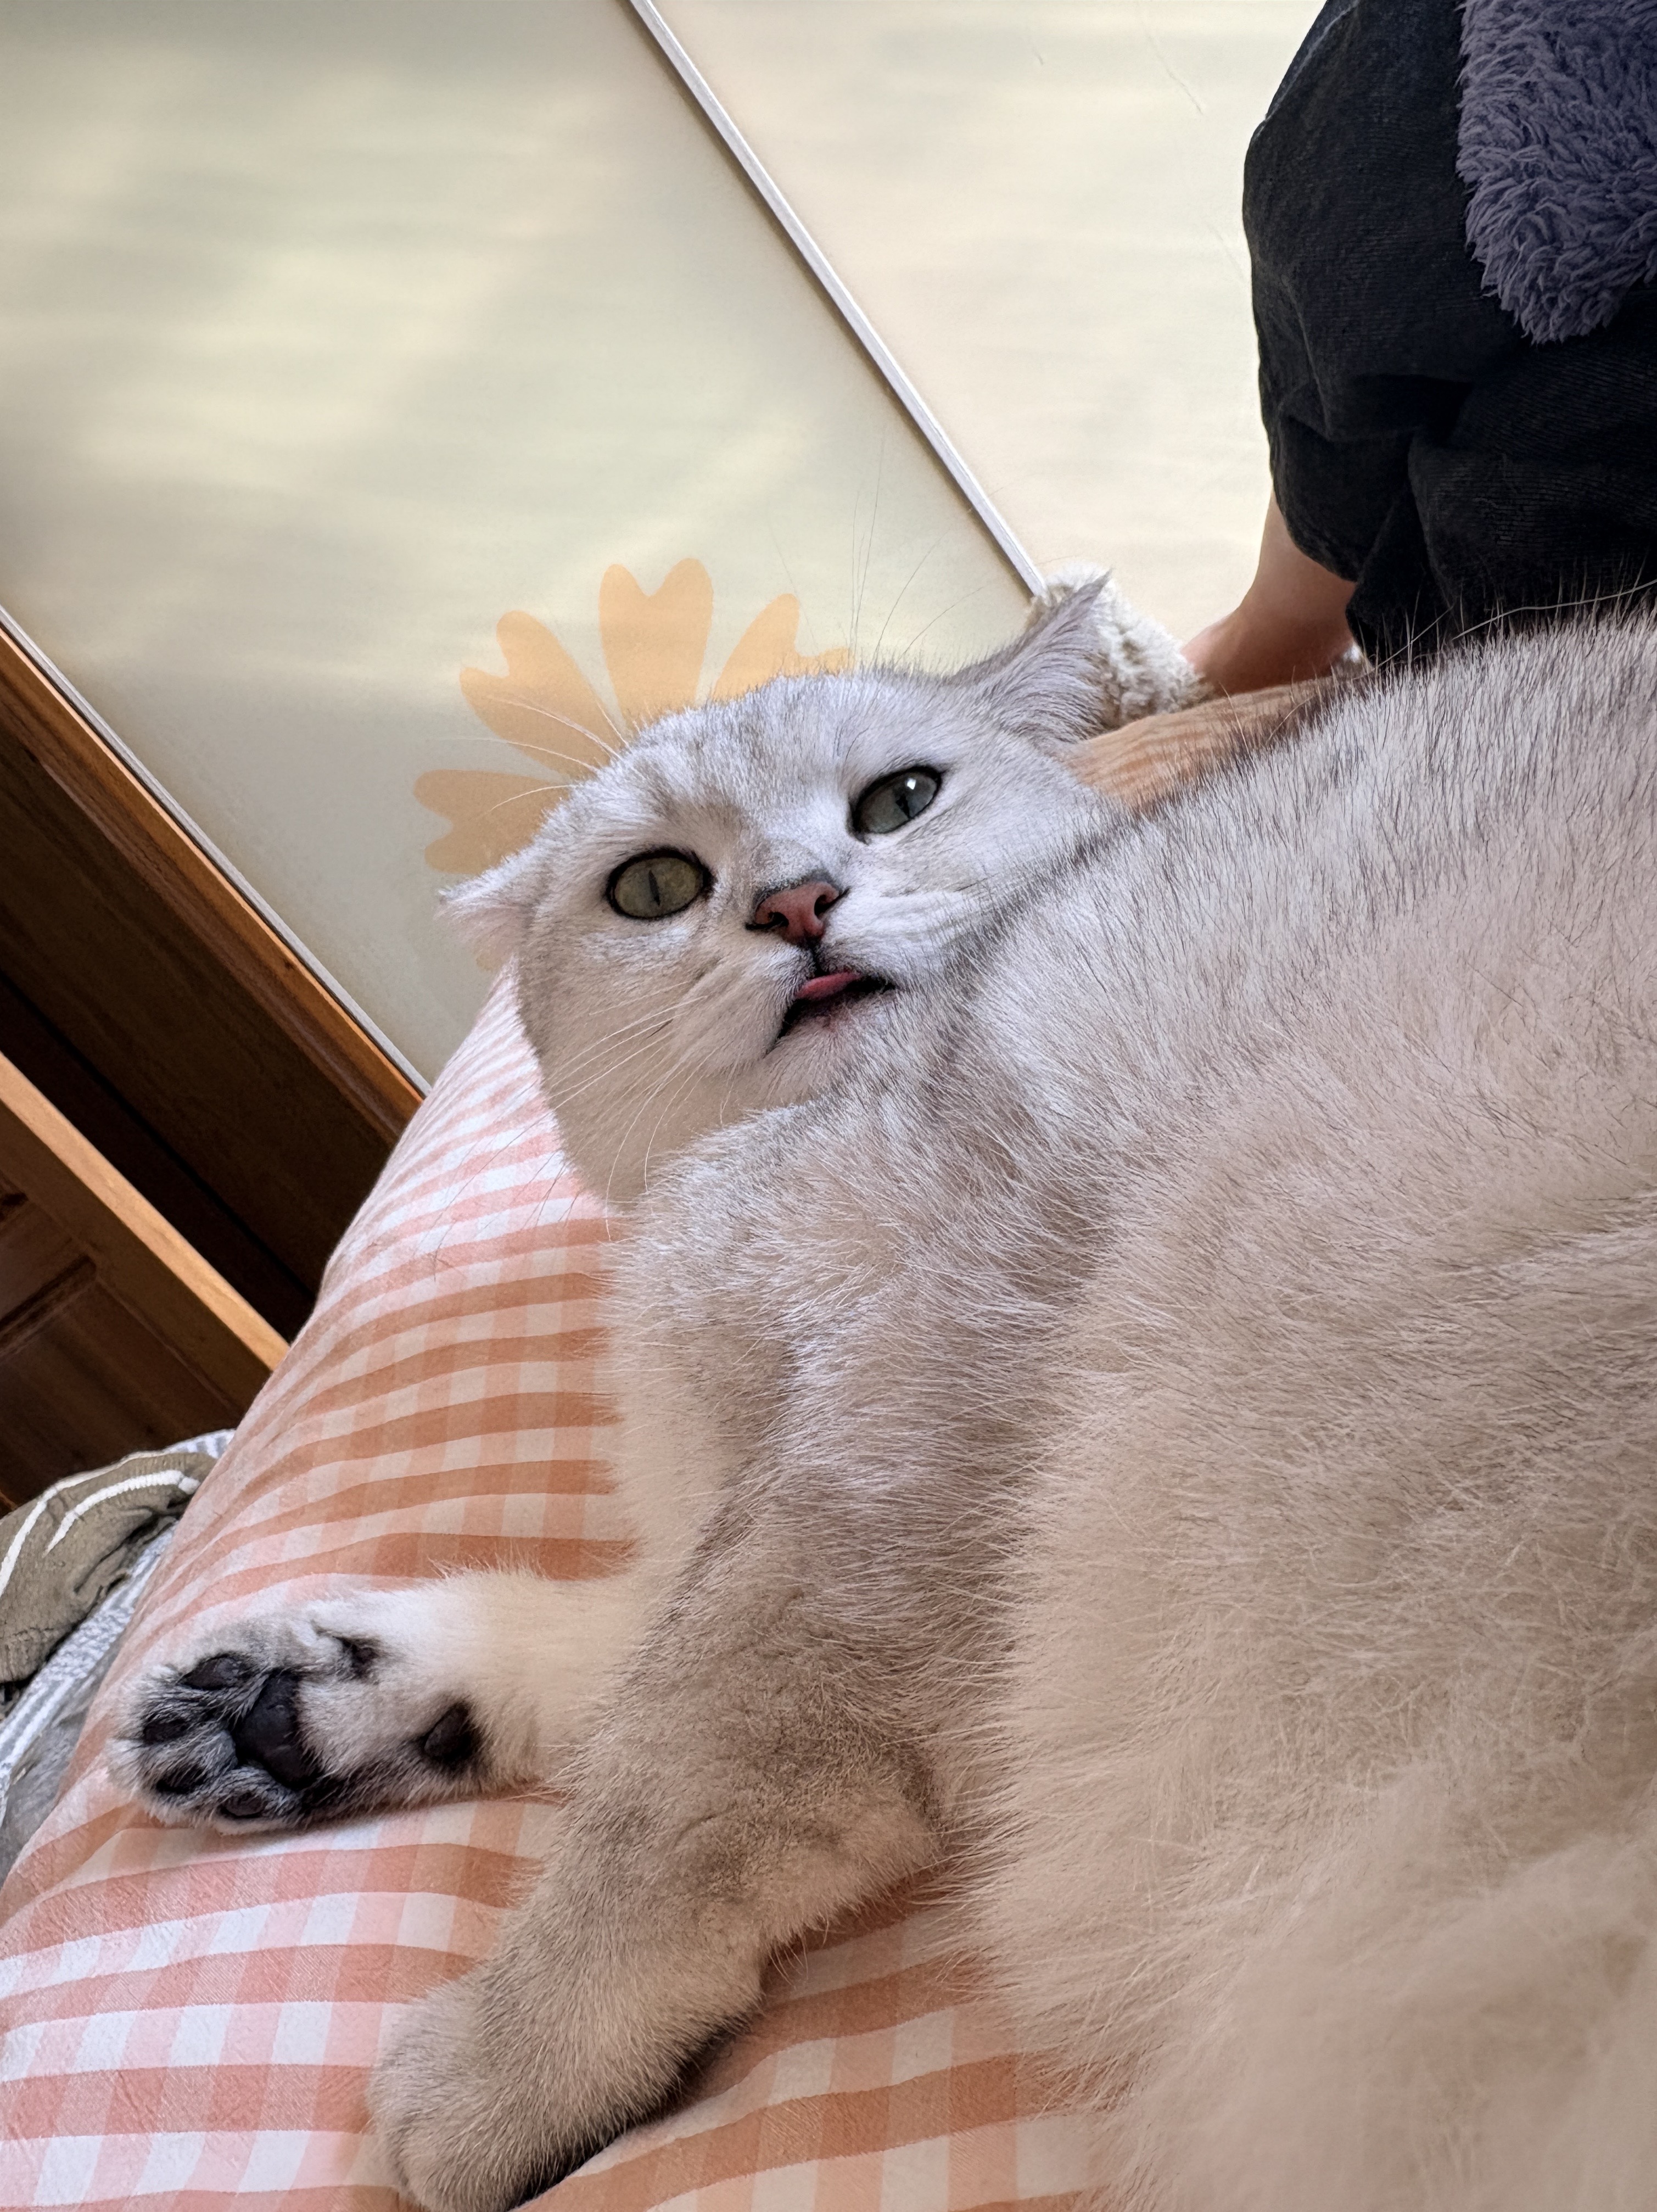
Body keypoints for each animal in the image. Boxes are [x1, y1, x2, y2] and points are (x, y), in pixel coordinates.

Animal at [114, 586, 1657, 2212]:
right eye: (656, 886)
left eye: (900, 799)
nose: (797, 902)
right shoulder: (768, 1507)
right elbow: (616, 1642)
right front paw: (293, 1700)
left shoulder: (884, 1448)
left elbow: (660, 1789)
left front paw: (507, 2058)